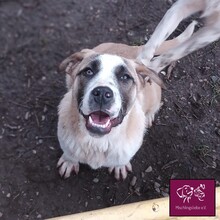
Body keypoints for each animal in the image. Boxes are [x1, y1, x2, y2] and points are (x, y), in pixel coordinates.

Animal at [56, 0, 220, 179]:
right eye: (88, 71)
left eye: (125, 77)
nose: (102, 94)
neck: (98, 142)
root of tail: (132, 48)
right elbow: (70, 153)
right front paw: (69, 161)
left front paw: (120, 166)